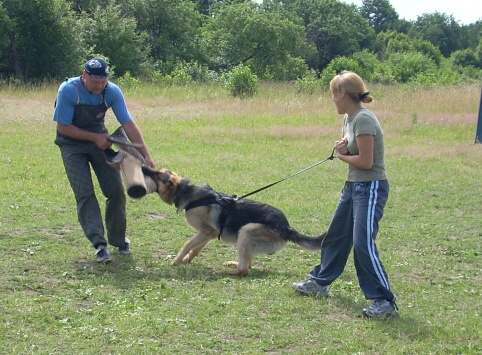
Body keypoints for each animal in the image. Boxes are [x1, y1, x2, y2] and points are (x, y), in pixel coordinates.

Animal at [141, 165, 326, 276]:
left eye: (158, 174)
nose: (142, 166)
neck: (187, 191)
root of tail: (287, 228)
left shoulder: (207, 231)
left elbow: (187, 245)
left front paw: (176, 261)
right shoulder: (208, 233)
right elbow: (196, 248)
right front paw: (187, 260)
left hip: (246, 231)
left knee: (244, 270)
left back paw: (225, 272)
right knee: (247, 264)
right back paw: (232, 264)